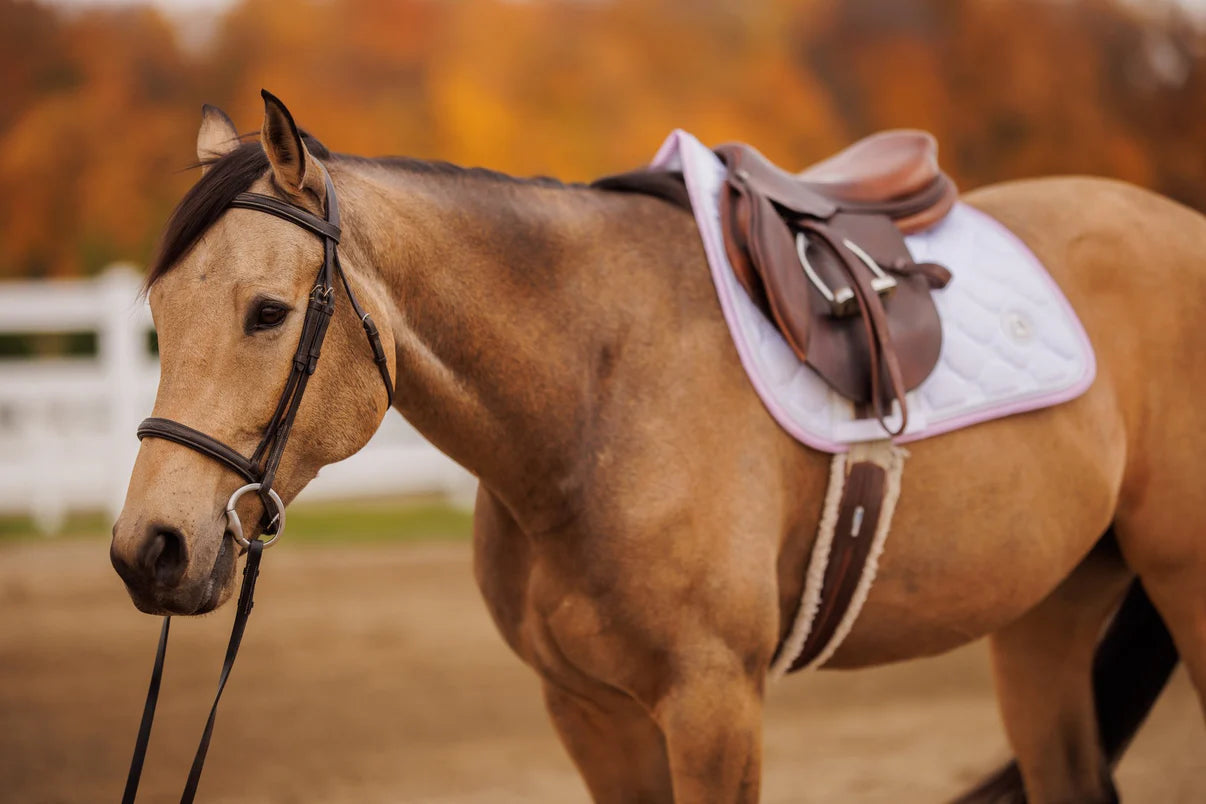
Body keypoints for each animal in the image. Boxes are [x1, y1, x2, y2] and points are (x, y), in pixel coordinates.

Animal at [108, 91, 1201, 800]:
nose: (148, 549)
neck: (597, 393)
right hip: (1047, 612)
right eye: (157, 313)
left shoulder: (714, 705)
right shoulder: (591, 712)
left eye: (267, 312)